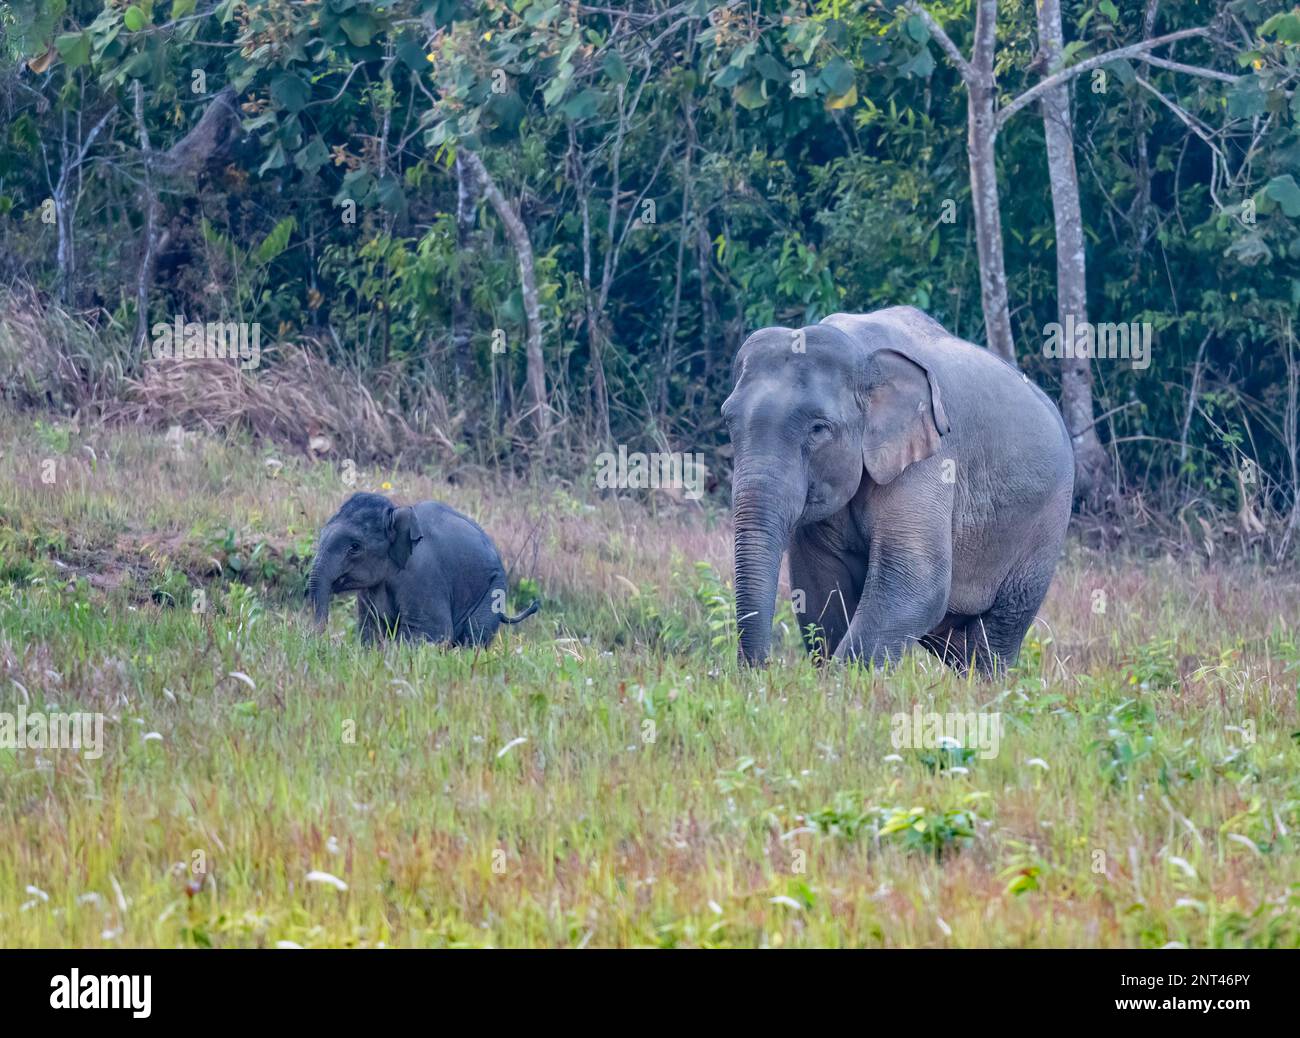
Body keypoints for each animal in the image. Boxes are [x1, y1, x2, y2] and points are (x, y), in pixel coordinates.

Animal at [305, 491, 538, 645]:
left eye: (354, 547)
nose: (315, 637)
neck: (396, 512)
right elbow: (372, 628)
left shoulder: (423, 576)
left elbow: (432, 630)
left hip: (493, 589)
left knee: (474, 636)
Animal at [722, 306, 1076, 676]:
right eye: (728, 420)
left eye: (819, 429)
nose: (762, 669)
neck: (860, 351)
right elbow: (819, 583)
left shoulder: (930, 456)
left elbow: (916, 578)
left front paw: (843, 681)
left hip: (1046, 524)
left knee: (998, 632)